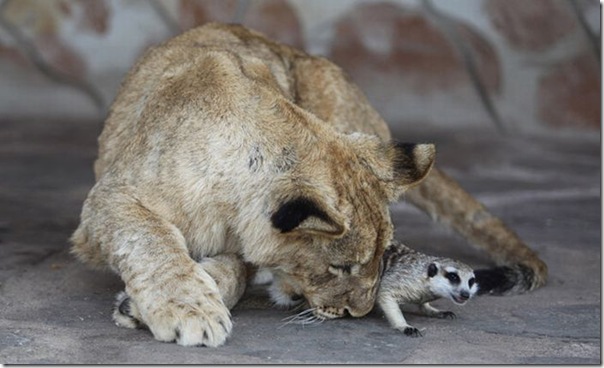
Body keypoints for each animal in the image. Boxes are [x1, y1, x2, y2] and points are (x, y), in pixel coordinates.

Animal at [71, 22, 548, 344]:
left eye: (381, 259)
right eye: (340, 267)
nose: (359, 312)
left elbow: (237, 269)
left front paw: (171, 298)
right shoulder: (107, 199)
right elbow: (150, 238)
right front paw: (189, 309)